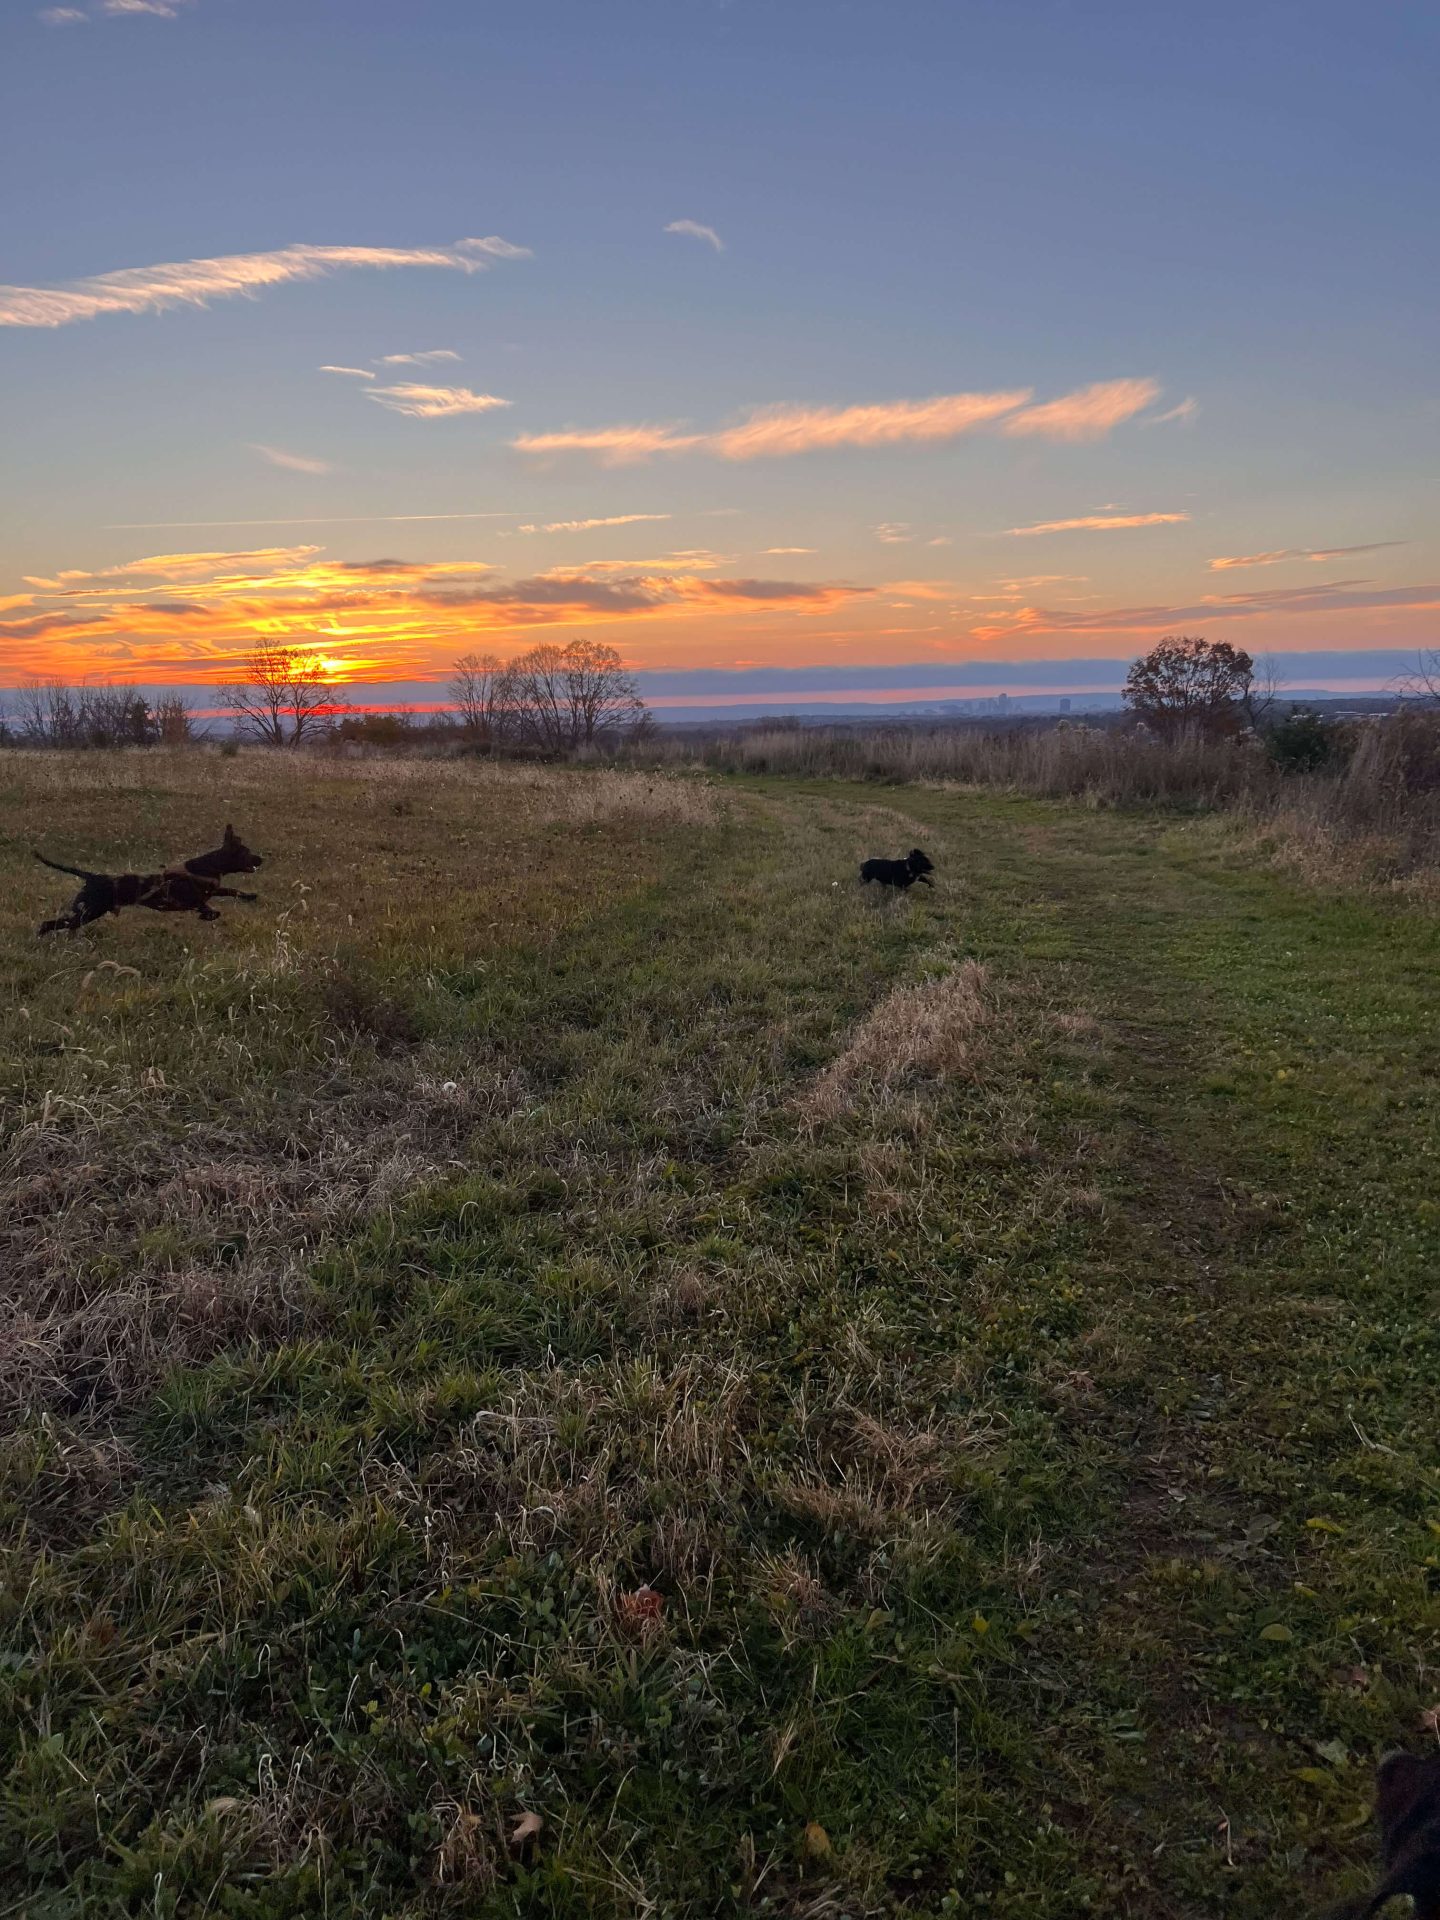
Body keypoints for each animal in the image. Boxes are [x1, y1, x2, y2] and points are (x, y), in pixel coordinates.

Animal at [36, 821, 266, 933]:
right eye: (247, 852)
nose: (262, 858)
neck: (208, 867)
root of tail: (92, 877)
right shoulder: (190, 898)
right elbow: (208, 908)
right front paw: (207, 915)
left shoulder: (213, 889)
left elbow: (232, 890)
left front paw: (250, 896)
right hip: (89, 911)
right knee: (49, 924)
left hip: (87, 912)